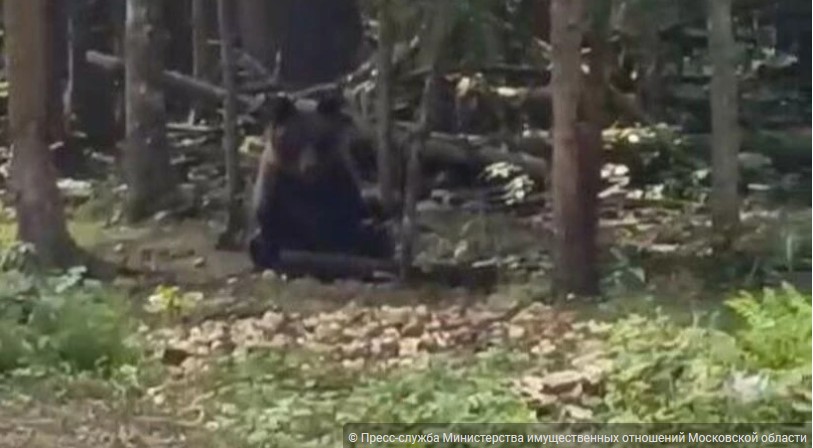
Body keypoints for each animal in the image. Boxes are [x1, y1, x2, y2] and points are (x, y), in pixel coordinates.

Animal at [246, 94, 392, 272]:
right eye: (295, 140)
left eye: (320, 139)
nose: (311, 166)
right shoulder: (276, 190)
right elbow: (277, 229)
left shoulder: (338, 181)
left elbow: (346, 221)